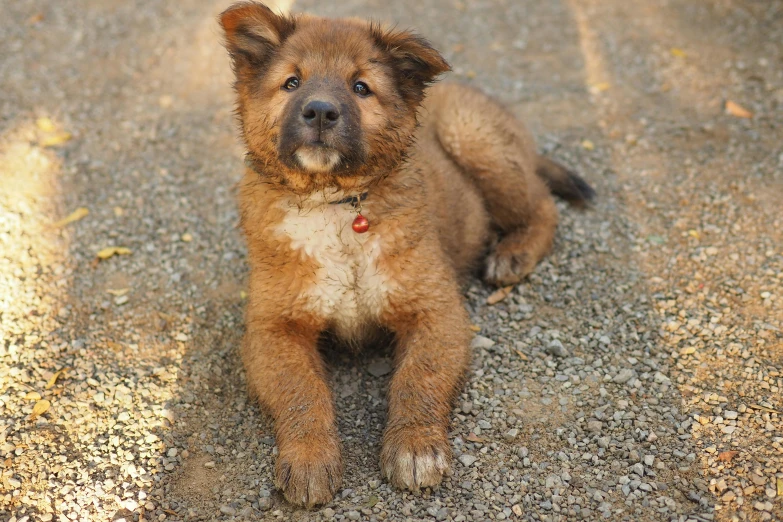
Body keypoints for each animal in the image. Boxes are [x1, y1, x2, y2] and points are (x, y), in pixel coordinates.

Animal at [220, 2, 596, 506]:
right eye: (292, 82)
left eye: (361, 87)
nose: (320, 111)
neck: (335, 204)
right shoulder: (273, 328)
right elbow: (301, 391)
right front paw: (309, 456)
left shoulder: (436, 310)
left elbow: (418, 378)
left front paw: (415, 446)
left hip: (475, 141)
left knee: (542, 205)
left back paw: (513, 254)